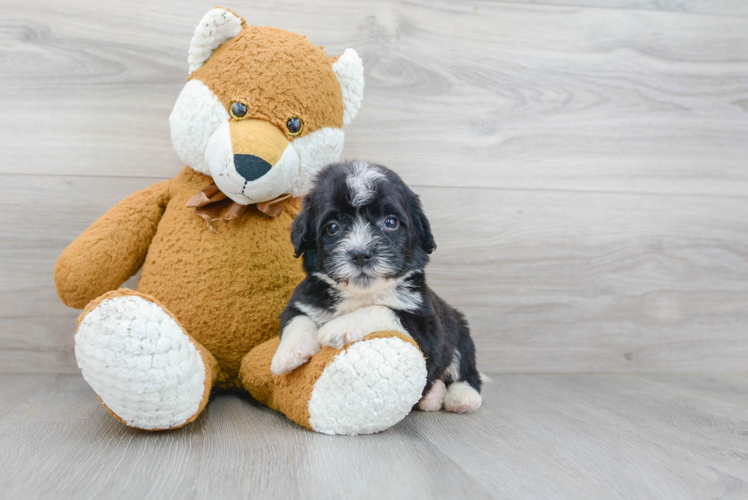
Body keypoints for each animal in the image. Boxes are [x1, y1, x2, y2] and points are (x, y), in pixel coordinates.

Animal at [272, 161, 482, 414]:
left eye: (390, 222)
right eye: (332, 227)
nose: (361, 254)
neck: (361, 294)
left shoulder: (429, 327)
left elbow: (383, 309)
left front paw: (339, 327)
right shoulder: (304, 298)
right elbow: (297, 318)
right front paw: (289, 352)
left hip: (459, 328)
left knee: (465, 369)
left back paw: (462, 397)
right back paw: (433, 396)